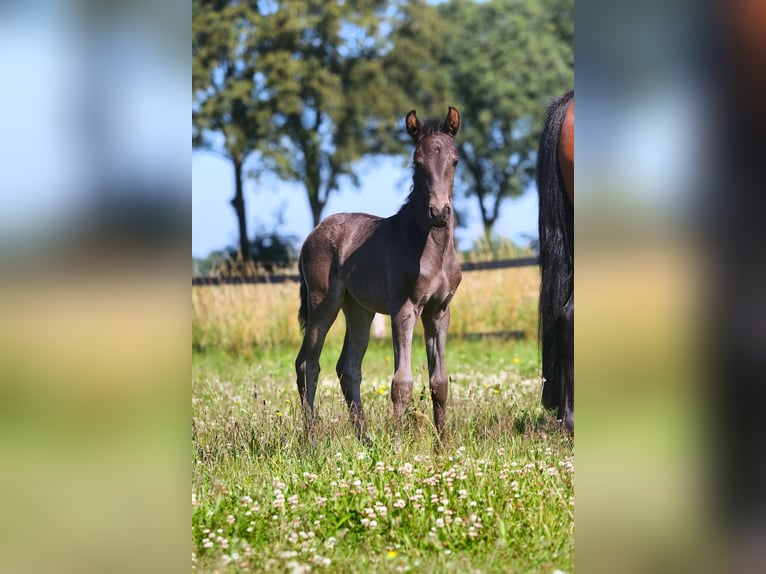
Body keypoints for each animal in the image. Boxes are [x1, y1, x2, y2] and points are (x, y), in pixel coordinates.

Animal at [294, 109, 462, 450]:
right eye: (417, 162)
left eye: (454, 160)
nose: (439, 212)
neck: (429, 247)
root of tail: (313, 232)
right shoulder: (405, 309)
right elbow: (402, 382)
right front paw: (397, 448)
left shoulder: (439, 312)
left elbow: (439, 382)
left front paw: (442, 448)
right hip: (323, 304)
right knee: (308, 365)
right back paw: (312, 441)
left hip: (359, 310)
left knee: (348, 368)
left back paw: (365, 440)